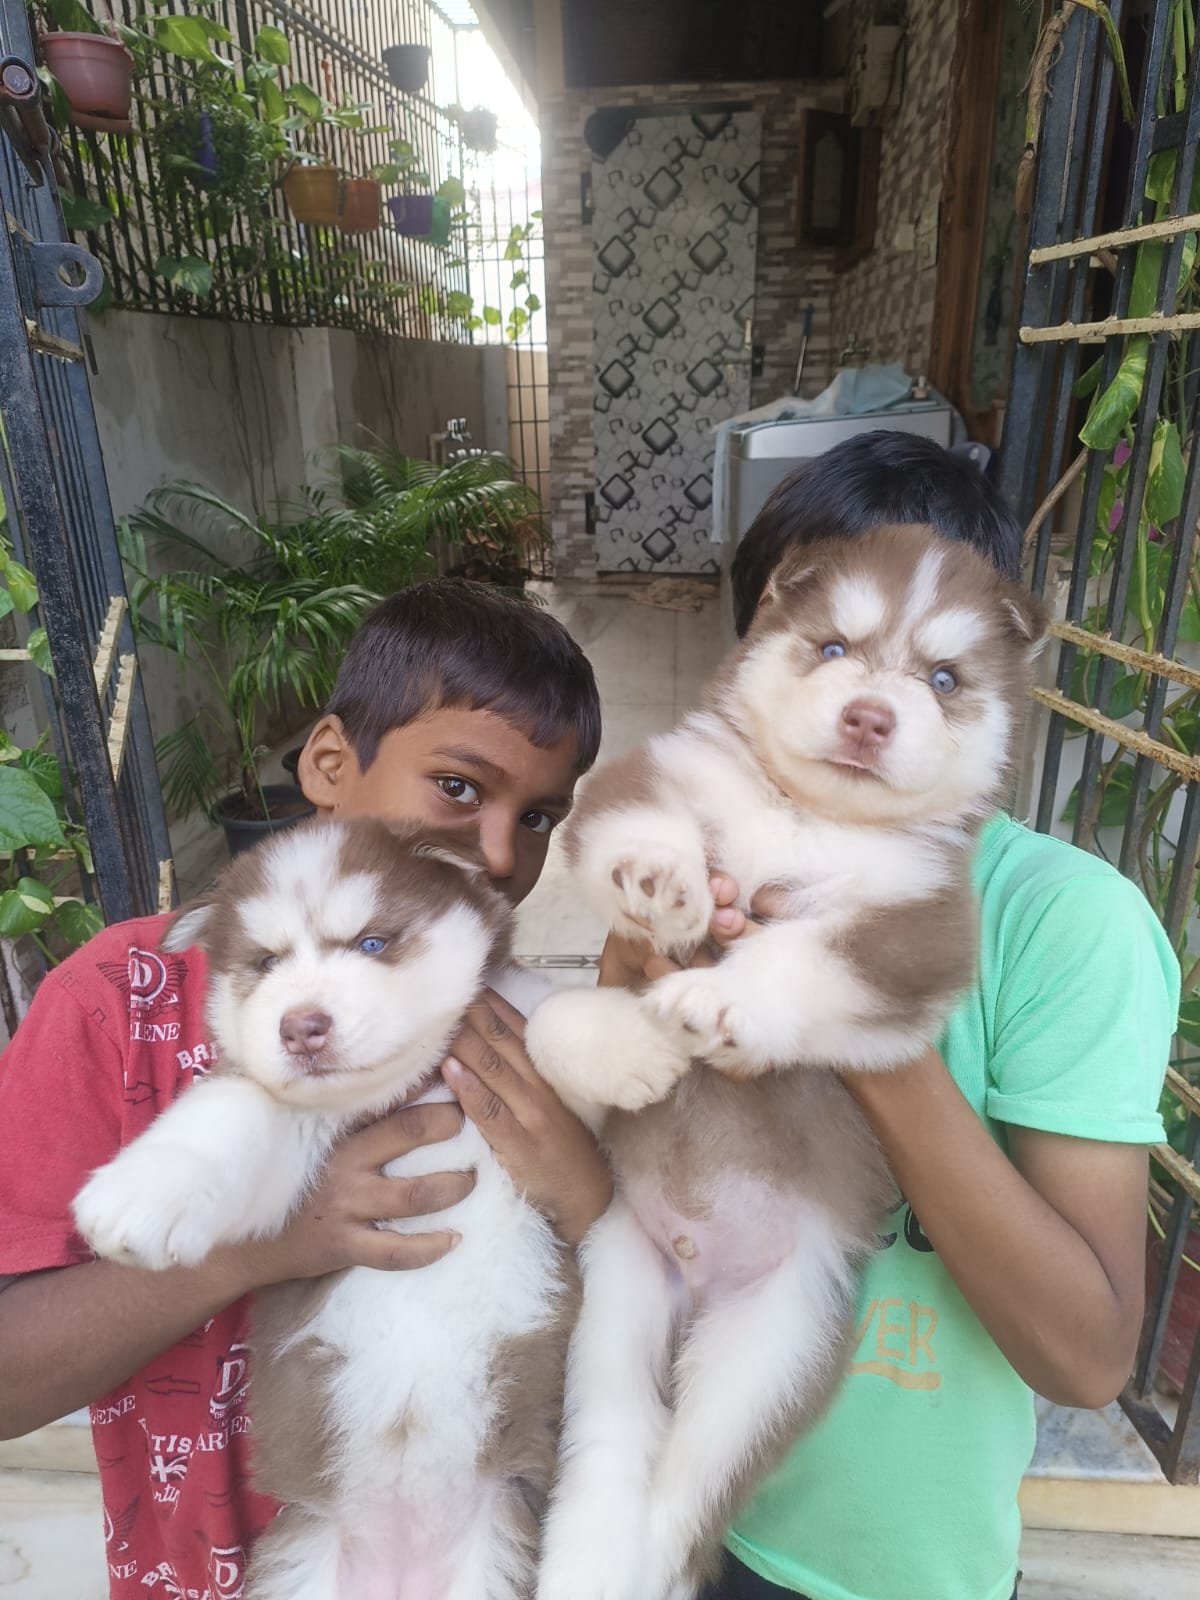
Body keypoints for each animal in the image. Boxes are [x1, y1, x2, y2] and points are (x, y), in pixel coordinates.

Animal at [75, 819, 579, 1600]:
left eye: (371, 942)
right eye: (266, 962)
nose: (301, 1026)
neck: (420, 1079)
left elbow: (562, 1017)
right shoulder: (296, 1127)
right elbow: (237, 1107)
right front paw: (140, 1193)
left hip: (497, 1549)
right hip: (301, 1554)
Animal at [524, 524, 1043, 1600]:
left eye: (943, 678)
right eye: (835, 647)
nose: (870, 716)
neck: (813, 817)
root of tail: (700, 1281)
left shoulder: (918, 934)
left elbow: (807, 955)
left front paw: (722, 1001)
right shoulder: (654, 779)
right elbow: (598, 917)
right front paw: (655, 912)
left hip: (777, 1350)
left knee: (686, 1498)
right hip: (615, 1296)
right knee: (611, 1451)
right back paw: (589, 1562)